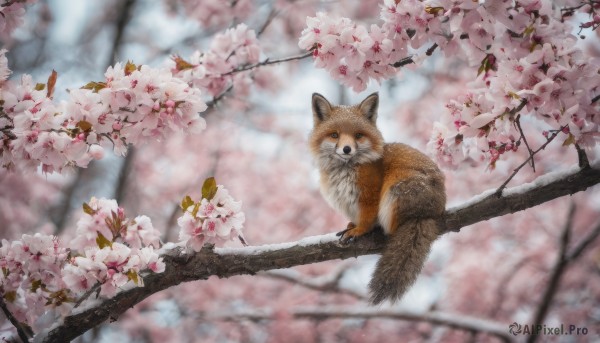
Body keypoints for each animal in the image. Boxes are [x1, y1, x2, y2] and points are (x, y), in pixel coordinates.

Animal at [310, 92, 446, 306]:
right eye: (334, 135)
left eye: (358, 135)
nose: (346, 149)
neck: (344, 171)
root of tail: (428, 213)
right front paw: (352, 225)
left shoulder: (370, 195)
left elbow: (366, 219)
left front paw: (359, 230)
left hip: (394, 188)